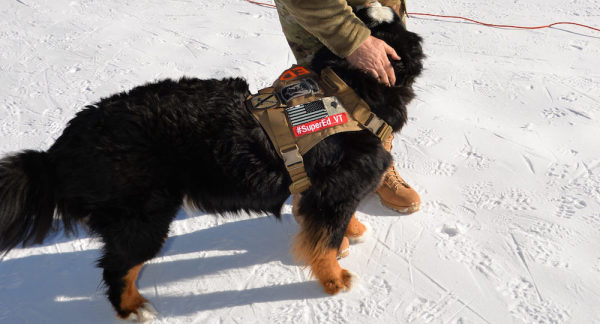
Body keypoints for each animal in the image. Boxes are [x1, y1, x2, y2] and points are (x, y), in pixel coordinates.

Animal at [0, 5, 422, 322]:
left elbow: (333, 226)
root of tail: (60, 148)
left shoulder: (323, 193)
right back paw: (132, 307)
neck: (348, 91)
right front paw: (335, 280)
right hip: (144, 220)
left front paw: (352, 231)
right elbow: (324, 243)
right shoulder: (331, 193)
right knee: (117, 267)